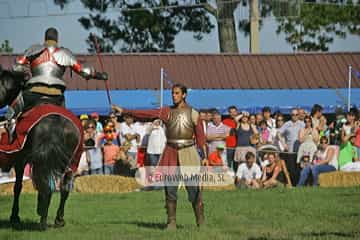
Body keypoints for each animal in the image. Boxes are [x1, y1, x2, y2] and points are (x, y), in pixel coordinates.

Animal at [0, 66, 81, 231]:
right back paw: (57, 219)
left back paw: (42, 219)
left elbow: (17, 186)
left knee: (45, 185)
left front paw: (14, 216)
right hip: (69, 161)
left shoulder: (20, 160)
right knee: (63, 187)